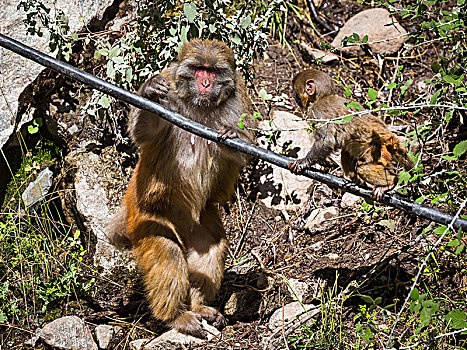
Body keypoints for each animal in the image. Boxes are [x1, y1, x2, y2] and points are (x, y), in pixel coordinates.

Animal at [105, 39, 254, 338]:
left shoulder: (239, 102)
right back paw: (175, 316)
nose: (205, 83)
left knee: (210, 246)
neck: (200, 105)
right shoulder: (170, 89)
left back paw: (198, 306)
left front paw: (234, 136)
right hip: (147, 215)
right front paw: (150, 90)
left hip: (199, 219)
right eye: (198, 69)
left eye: (212, 71)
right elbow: (145, 133)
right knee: (167, 250)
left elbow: (248, 149)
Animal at [288, 69, 414, 200]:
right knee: (347, 152)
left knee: (362, 166)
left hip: (378, 150)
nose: (293, 96)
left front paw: (303, 162)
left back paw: (390, 184)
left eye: (296, 93)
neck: (321, 97)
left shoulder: (317, 112)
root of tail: (389, 136)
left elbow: (327, 141)